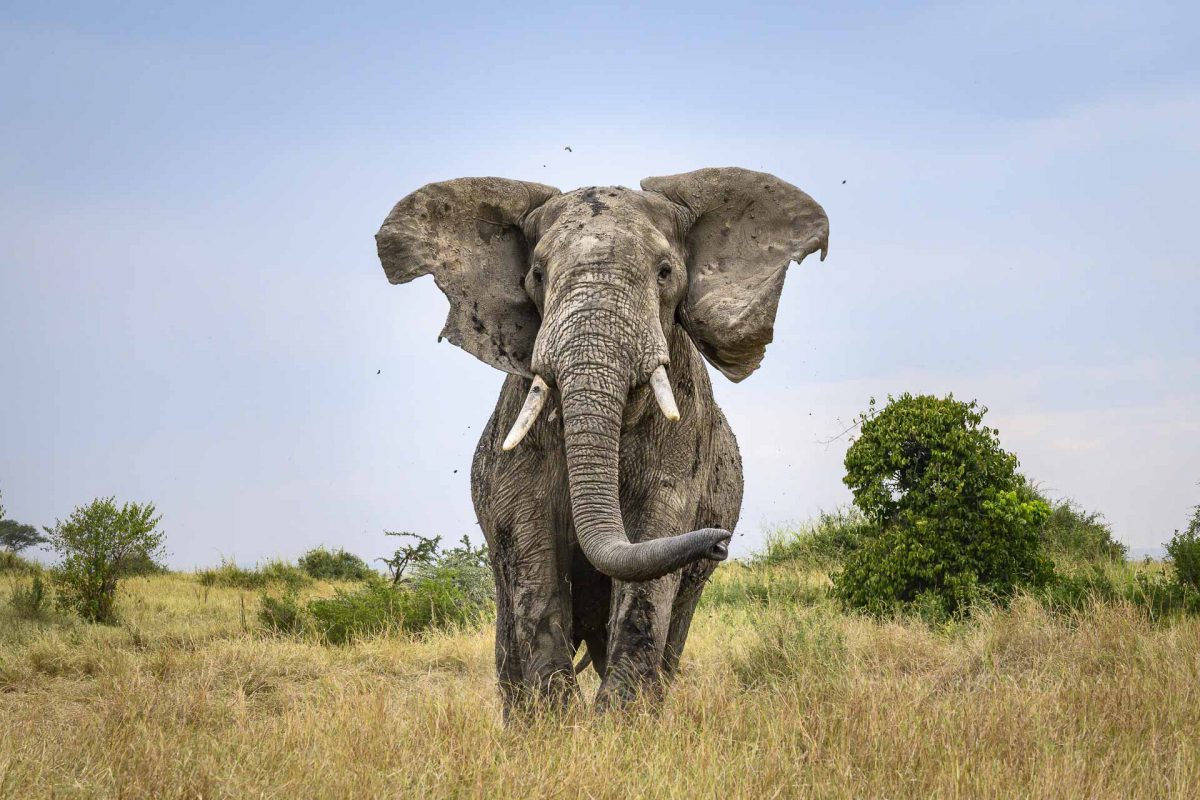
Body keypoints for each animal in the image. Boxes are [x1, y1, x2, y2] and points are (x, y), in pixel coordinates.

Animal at [374, 167, 825, 714]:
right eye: (537, 275)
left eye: (665, 273)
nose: (718, 543)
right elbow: (531, 548)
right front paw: (556, 722)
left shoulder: (683, 438)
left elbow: (654, 536)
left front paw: (619, 720)